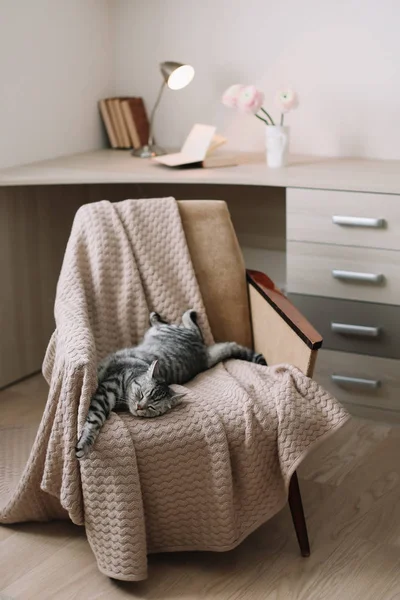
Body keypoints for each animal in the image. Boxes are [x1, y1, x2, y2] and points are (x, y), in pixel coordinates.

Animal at [76, 310, 268, 460]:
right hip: (171, 331)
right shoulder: (108, 388)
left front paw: (84, 444)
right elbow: (95, 418)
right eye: (141, 394)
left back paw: (165, 315)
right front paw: (85, 442)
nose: (139, 407)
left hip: (169, 331)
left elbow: (95, 418)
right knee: (191, 328)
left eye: (152, 408)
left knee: (188, 326)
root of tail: (204, 357)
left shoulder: (107, 390)